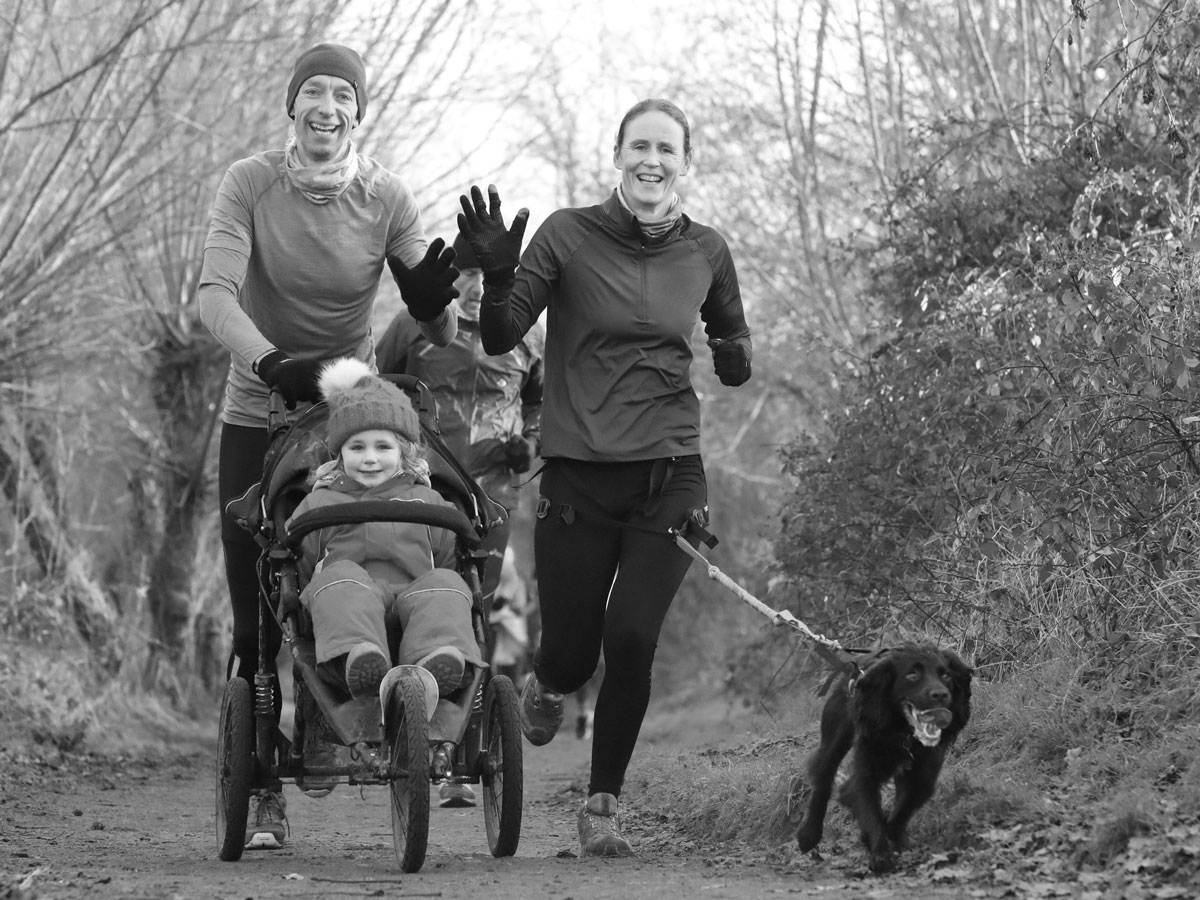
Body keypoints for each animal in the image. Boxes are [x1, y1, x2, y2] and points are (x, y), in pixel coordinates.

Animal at [796, 643, 974, 878]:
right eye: (912, 674)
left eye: (946, 676)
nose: (941, 695)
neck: (904, 733)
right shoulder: (866, 768)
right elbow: (869, 809)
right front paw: (881, 854)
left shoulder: (924, 771)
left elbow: (906, 804)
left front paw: (892, 837)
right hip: (834, 736)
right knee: (823, 780)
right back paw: (809, 834)